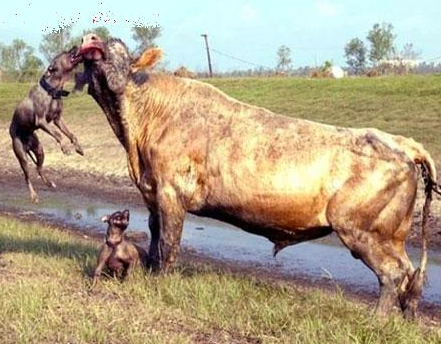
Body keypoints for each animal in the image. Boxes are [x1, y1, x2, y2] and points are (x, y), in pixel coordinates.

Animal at [8, 45, 83, 202]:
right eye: (65, 52)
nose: (75, 45)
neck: (52, 89)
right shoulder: (42, 121)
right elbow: (58, 134)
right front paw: (65, 148)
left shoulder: (58, 119)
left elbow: (71, 134)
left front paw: (78, 147)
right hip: (22, 156)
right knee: (27, 177)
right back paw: (33, 195)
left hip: (39, 150)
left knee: (39, 168)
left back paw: (49, 183)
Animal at [77, 35, 438, 318]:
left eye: (118, 50)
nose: (91, 41)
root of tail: (401, 142)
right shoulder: (152, 192)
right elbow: (154, 234)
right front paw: (150, 271)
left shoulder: (170, 193)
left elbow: (168, 242)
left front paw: (161, 282)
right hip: (391, 234)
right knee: (410, 275)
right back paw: (406, 318)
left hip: (363, 230)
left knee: (393, 273)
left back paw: (377, 319)